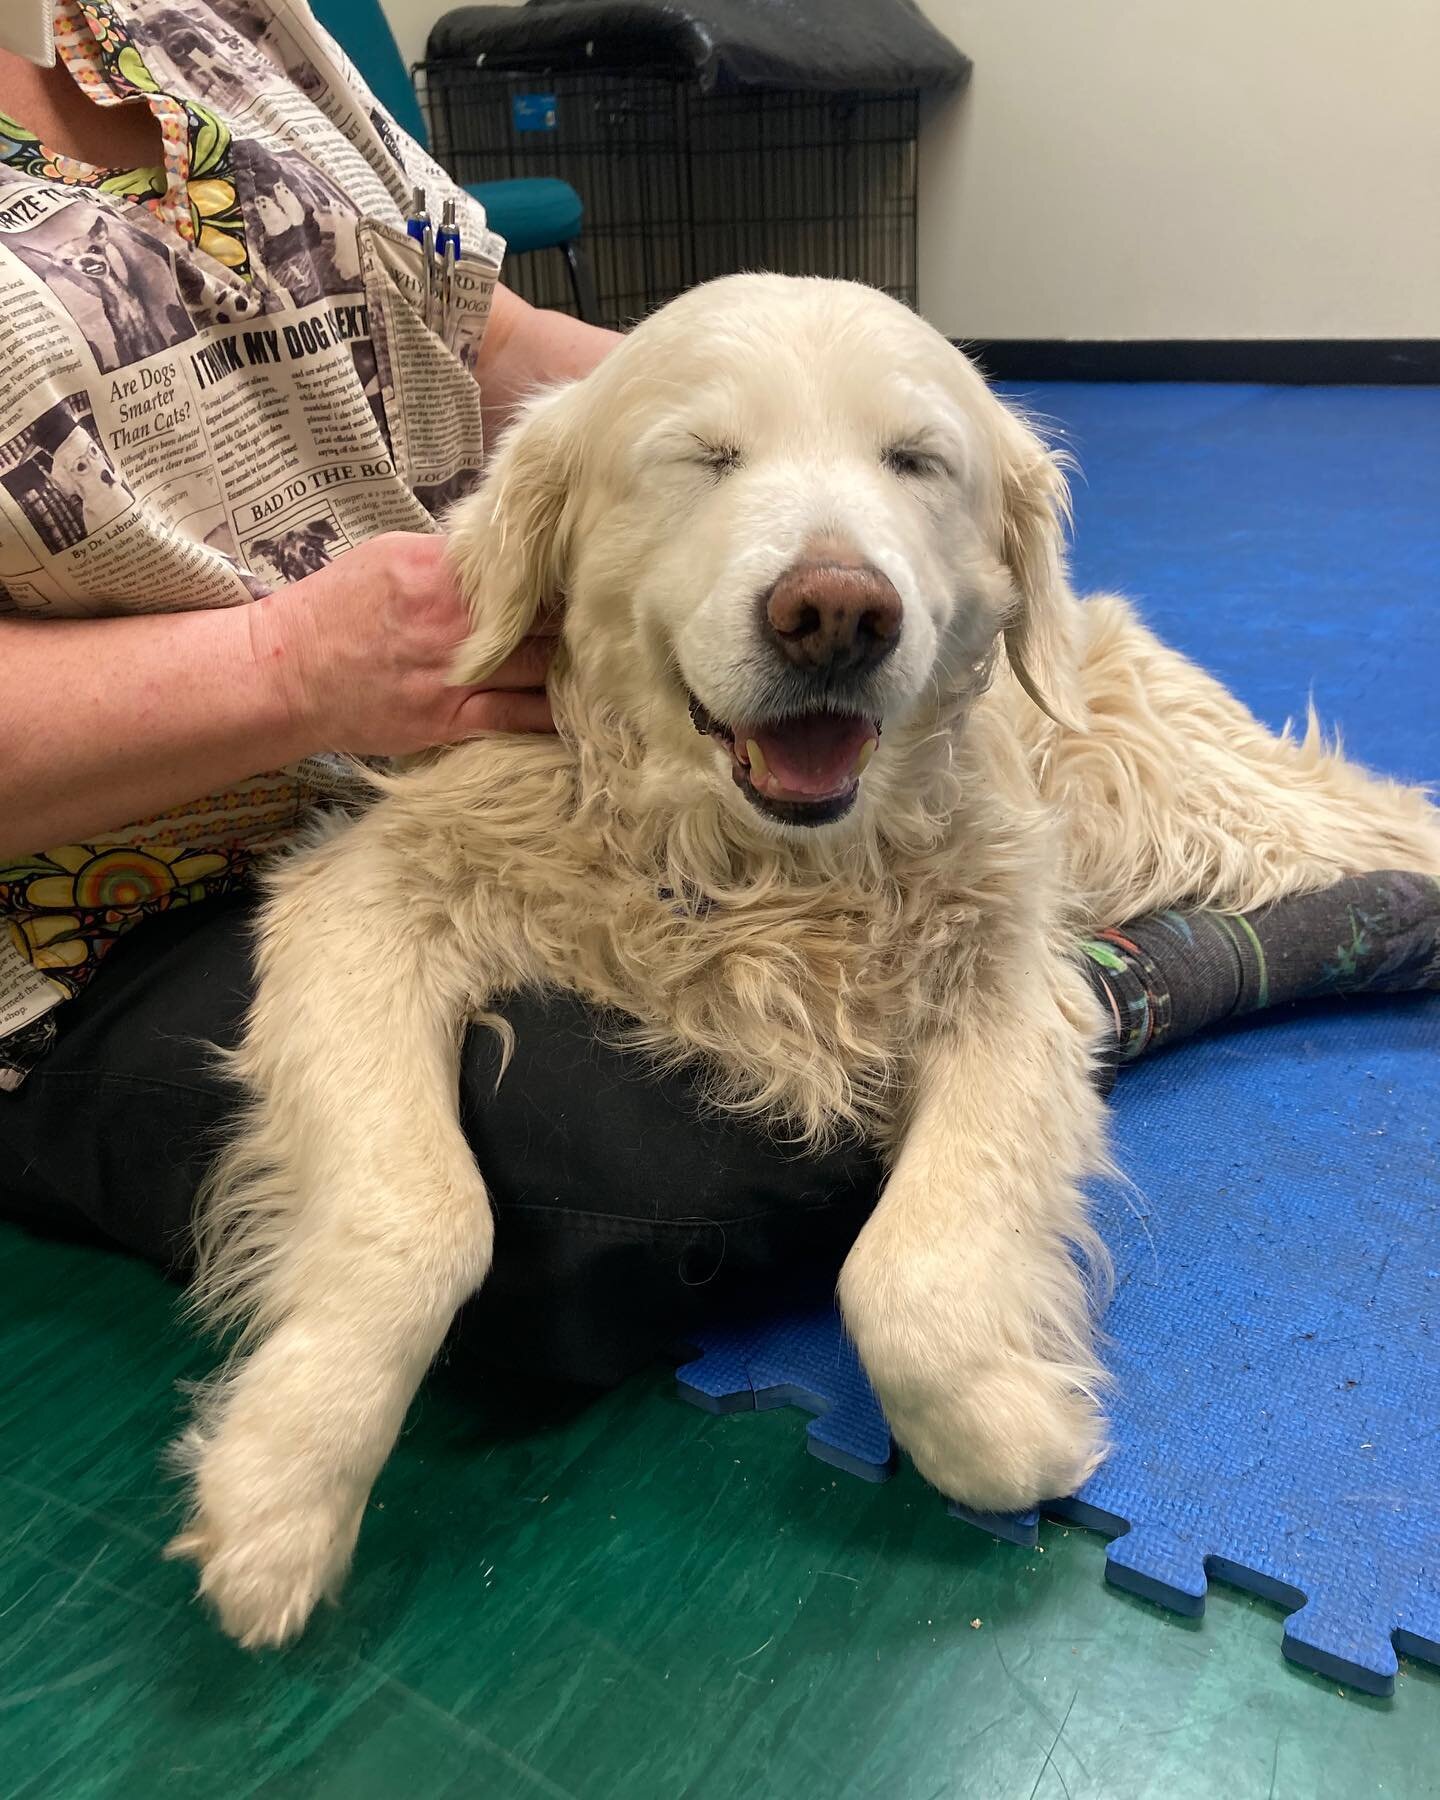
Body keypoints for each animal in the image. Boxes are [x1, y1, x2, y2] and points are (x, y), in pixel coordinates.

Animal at [174, 273, 1440, 1641]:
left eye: (915, 461)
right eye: (706, 457)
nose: (836, 612)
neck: (761, 870)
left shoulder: (1007, 984)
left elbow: (911, 1282)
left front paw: (1006, 1428)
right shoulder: (364, 900)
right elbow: (418, 1211)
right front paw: (280, 1489)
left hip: (1206, 811)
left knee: (1378, 821)